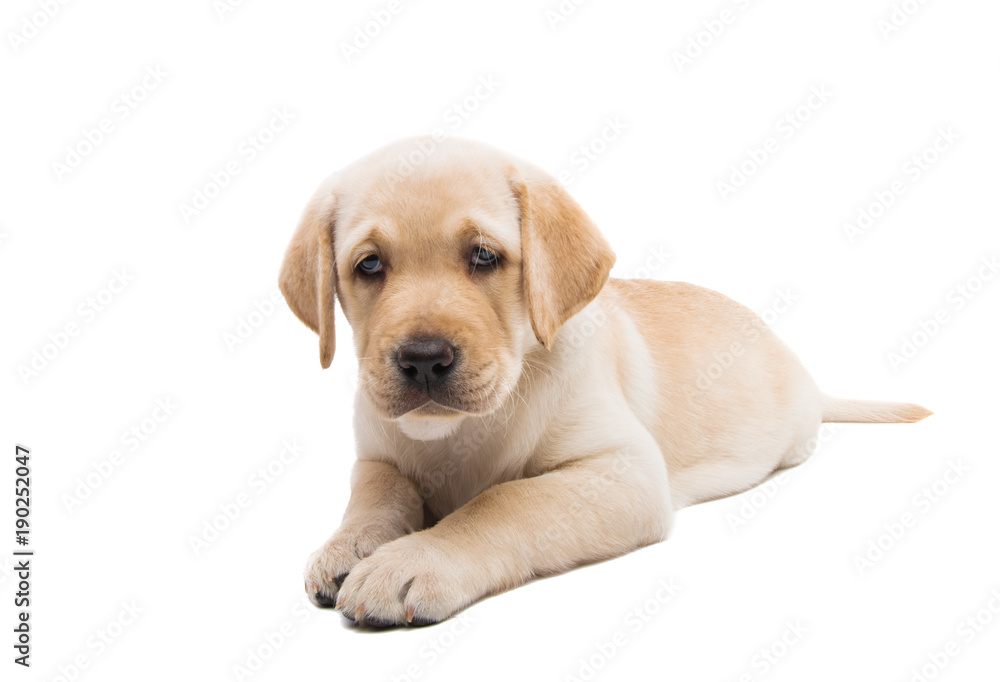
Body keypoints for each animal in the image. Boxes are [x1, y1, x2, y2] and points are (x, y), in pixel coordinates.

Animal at [276, 135, 928, 624]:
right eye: (369, 265)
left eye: (484, 256)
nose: (424, 360)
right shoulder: (376, 457)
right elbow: (375, 496)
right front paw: (349, 544)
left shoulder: (623, 471)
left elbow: (502, 502)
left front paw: (415, 559)